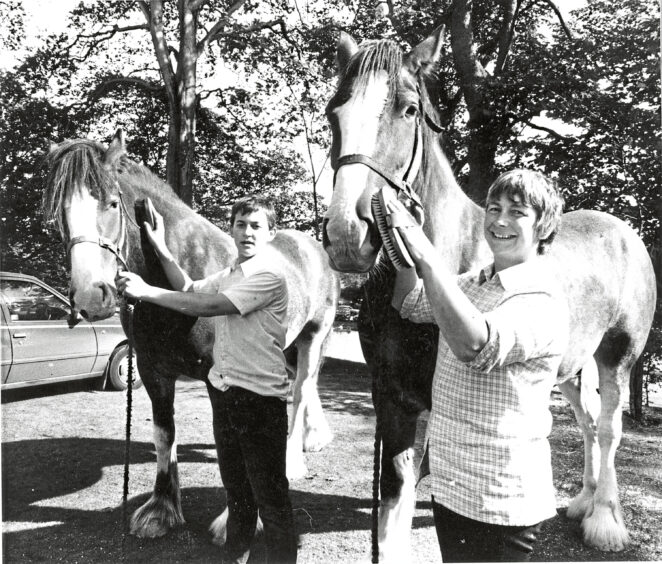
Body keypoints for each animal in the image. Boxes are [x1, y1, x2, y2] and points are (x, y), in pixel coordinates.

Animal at [42, 130, 342, 540]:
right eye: (61, 214)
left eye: (112, 203)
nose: (91, 295)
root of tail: (312, 247)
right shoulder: (153, 372)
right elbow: (164, 434)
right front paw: (161, 510)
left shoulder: (221, 382)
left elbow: (231, 441)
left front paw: (235, 521)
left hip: (314, 336)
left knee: (300, 390)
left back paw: (293, 458)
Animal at [322, 27, 660, 560]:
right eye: (333, 112)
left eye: (408, 110)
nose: (347, 236)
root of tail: (624, 230)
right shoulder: (391, 396)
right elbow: (394, 493)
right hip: (569, 367)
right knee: (587, 421)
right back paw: (583, 502)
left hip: (618, 356)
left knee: (608, 428)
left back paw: (604, 519)